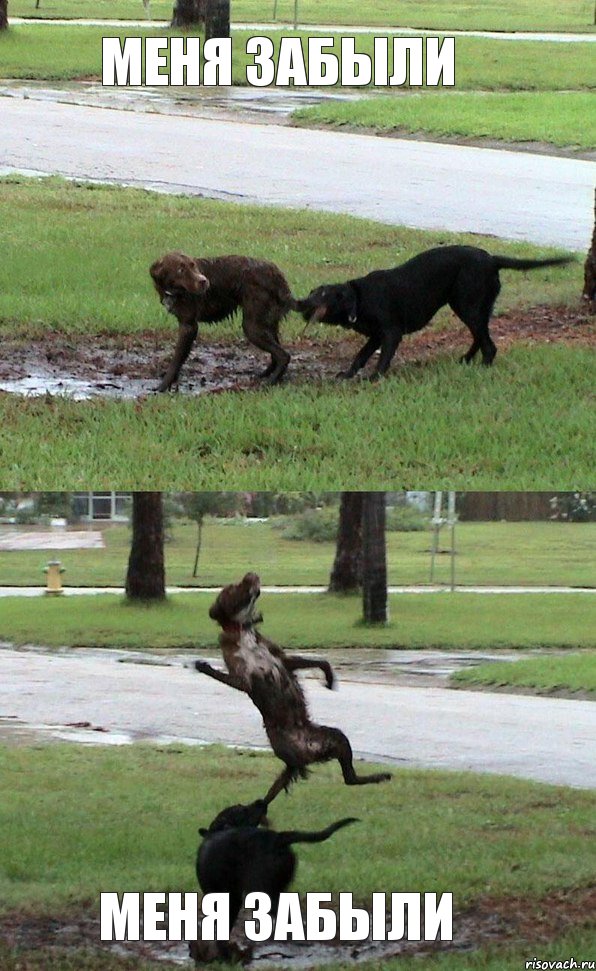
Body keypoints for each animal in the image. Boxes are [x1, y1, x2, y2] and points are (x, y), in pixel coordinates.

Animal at [149, 252, 294, 392]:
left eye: (193, 266)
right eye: (180, 270)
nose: (204, 281)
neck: (173, 291)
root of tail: (276, 273)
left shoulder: (189, 326)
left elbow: (176, 360)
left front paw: (162, 387)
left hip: (252, 327)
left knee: (283, 355)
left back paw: (271, 382)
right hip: (266, 322)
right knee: (276, 352)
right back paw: (266, 374)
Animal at [193, 568, 394, 804]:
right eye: (234, 588)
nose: (251, 573)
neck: (242, 630)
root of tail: (307, 748)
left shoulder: (282, 659)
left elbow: (319, 662)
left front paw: (329, 677)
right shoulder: (243, 679)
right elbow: (220, 674)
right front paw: (203, 666)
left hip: (337, 738)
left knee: (349, 777)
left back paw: (380, 776)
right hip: (295, 748)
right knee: (338, 778)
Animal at [296, 243, 572, 380]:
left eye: (322, 295)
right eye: (312, 291)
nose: (299, 302)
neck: (359, 298)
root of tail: (492, 258)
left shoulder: (391, 333)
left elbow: (383, 359)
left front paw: (374, 378)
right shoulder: (375, 336)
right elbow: (360, 355)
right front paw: (348, 374)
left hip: (467, 305)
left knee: (488, 344)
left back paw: (482, 367)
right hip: (475, 306)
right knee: (480, 336)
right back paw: (466, 360)